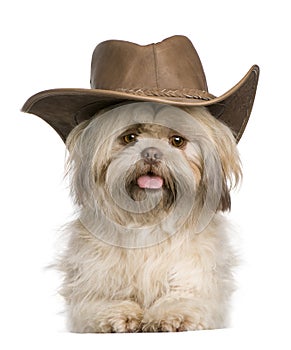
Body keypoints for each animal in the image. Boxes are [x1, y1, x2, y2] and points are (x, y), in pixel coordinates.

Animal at [57, 100, 242, 330]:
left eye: (177, 141)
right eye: (130, 137)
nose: (151, 153)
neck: (149, 221)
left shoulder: (195, 274)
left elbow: (184, 296)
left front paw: (174, 313)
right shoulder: (94, 276)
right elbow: (101, 297)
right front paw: (117, 313)